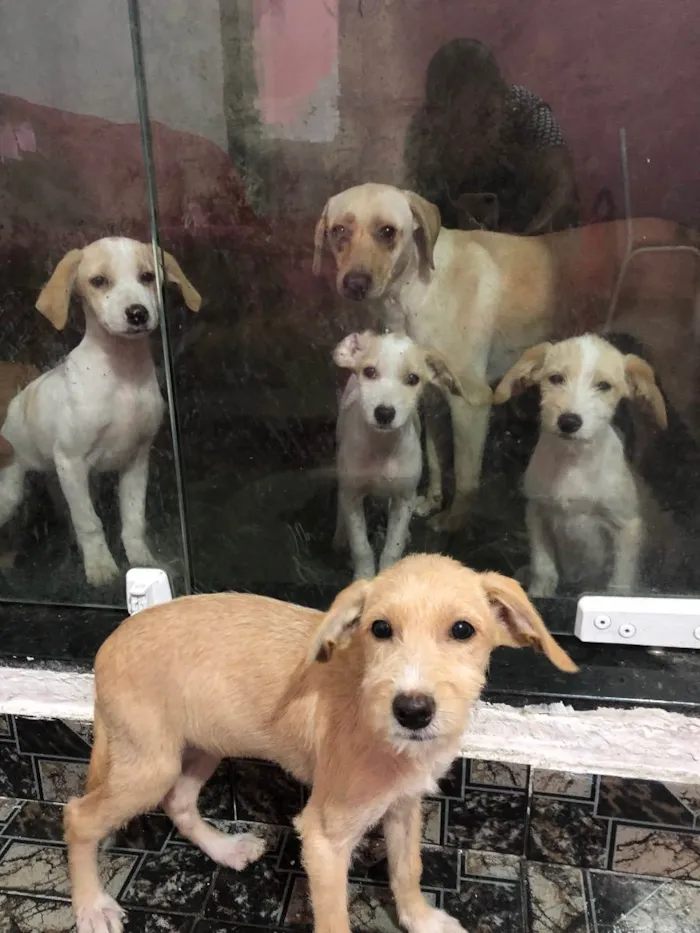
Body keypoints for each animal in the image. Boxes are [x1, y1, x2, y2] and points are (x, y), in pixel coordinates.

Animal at [0, 240, 202, 588]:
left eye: (147, 276)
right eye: (99, 281)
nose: (137, 313)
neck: (122, 375)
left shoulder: (136, 461)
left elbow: (133, 520)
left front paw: (143, 561)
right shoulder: (72, 462)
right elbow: (89, 522)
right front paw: (100, 567)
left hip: (59, 482)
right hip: (11, 493)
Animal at [314, 182, 700, 532]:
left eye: (388, 232)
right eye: (339, 231)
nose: (354, 284)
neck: (414, 292)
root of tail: (687, 233)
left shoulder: (471, 404)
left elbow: (466, 477)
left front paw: (454, 522)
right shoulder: (435, 399)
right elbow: (436, 460)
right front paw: (433, 500)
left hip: (681, 376)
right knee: (649, 428)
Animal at [334, 328, 464, 576]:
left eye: (413, 379)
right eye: (369, 372)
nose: (384, 413)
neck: (382, 448)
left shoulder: (404, 497)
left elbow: (392, 548)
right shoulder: (352, 494)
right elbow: (361, 547)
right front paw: (363, 576)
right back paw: (340, 535)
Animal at [492, 334, 668, 592]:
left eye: (604, 386)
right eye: (556, 378)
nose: (569, 422)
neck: (573, 461)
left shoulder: (627, 527)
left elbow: (619, 583)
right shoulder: (536, 512)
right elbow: (543, 570)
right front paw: (538, 593)